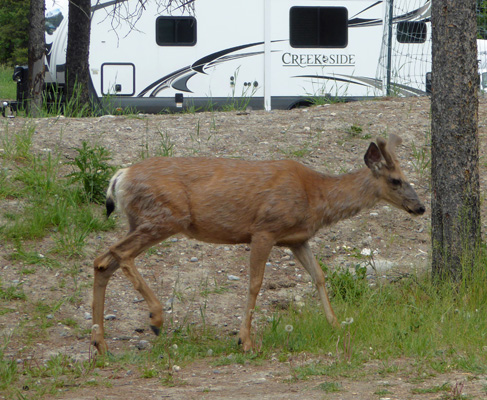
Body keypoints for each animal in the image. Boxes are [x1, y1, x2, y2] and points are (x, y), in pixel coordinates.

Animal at [90, 134, 424, 354]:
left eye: (406, 177)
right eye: (395, 180)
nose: (420, 207)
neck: (316, 196)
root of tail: (120, 176)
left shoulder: (296, 239)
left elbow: (318, 276)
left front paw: (336, 325)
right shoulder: (265, 229)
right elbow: (255, 283)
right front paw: (245, 340)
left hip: (142, 221)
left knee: (102, 261)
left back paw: (100, 343)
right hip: (163, 218)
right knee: (119, 254)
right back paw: (156, 318)